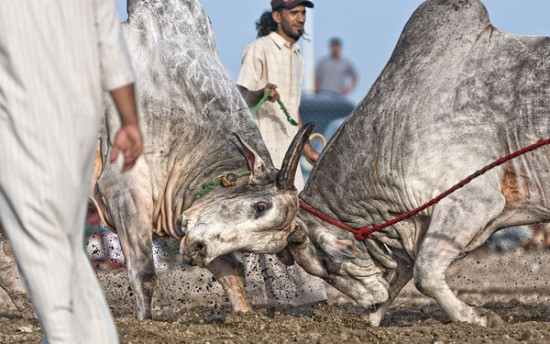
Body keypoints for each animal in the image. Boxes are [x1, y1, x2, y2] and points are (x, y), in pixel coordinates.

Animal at [91, 0, 314, 320]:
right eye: (260, 206)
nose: (197, 249)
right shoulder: (123, 189)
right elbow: (144, 274)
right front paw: (146, 320)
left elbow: (232, 272)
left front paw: (245, 313)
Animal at [183, 0, 550, 326]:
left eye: (261, 207)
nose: (193, 243)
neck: (394, 129)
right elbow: (403, 273)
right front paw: (370, 317)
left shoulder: (472, 201)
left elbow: (426, 274)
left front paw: (478, 318)